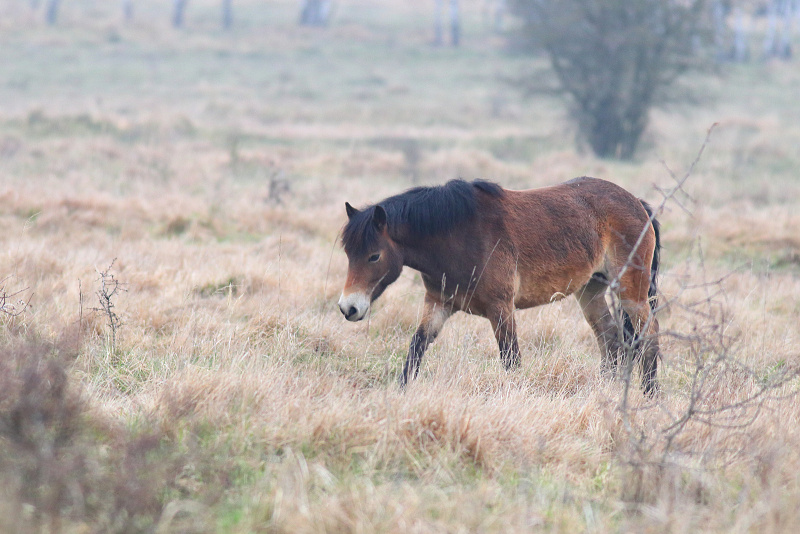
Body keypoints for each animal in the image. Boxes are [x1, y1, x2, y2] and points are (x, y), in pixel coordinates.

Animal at [340, 178, 660, 396]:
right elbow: (416, 348)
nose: (348, 308)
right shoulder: (438, 303)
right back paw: (607, 390)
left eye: (374, 256)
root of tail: (636, 203)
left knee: (648, 335)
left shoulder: (501, 308)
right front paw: (401, 392)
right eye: (348, 253)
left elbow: (510, 358)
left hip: (631, 292)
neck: (457, 235)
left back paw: (650, 394)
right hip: (590, 289)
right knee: (610, 338)